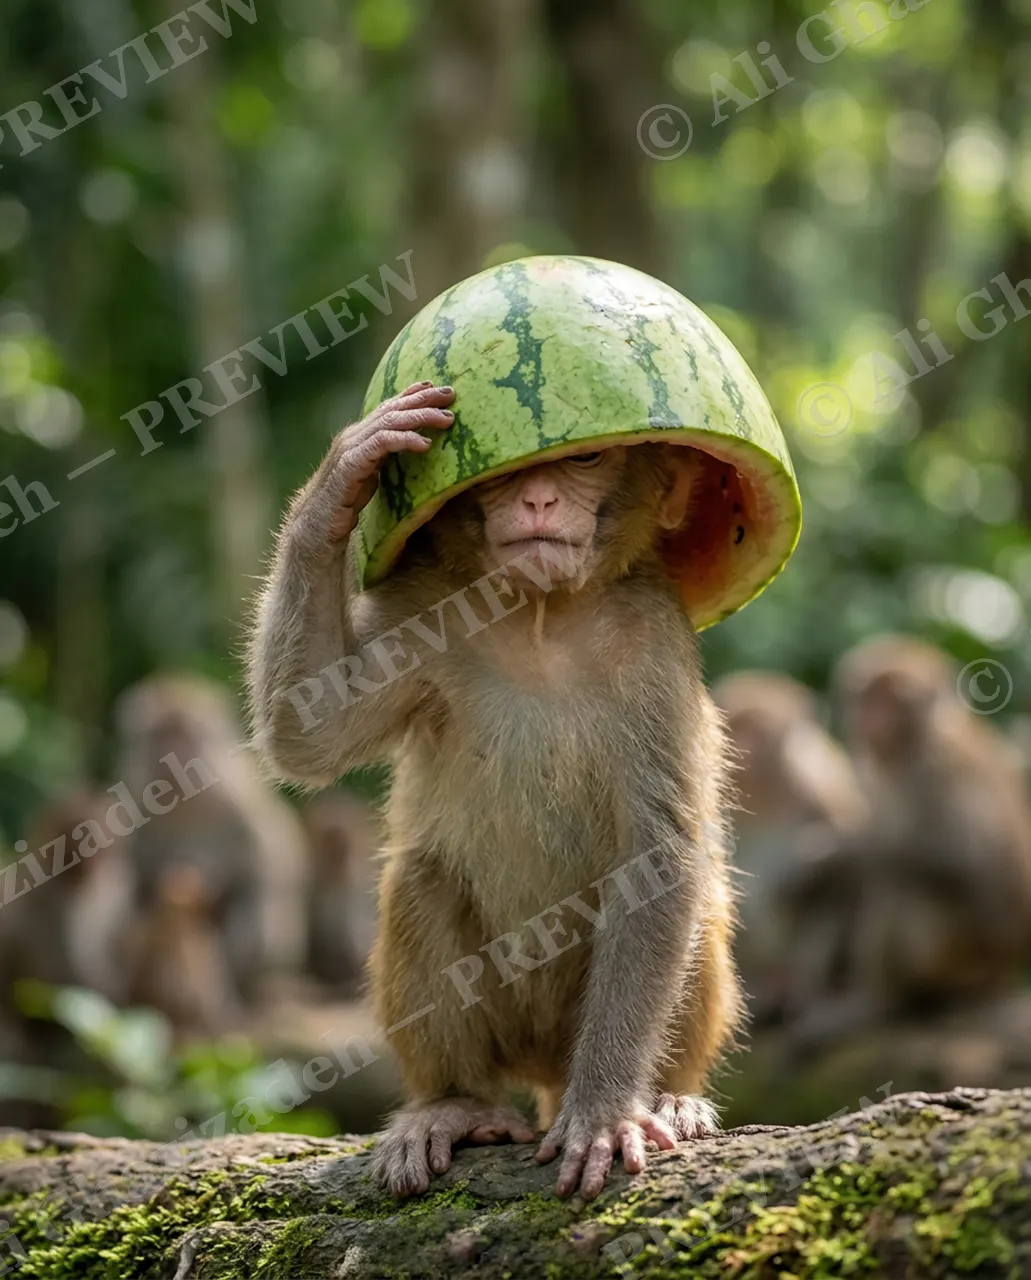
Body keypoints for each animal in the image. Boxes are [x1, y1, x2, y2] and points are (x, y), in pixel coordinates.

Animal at [115, 675, 309, 1007]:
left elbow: (264, 862)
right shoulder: (137, 799)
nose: (171, 753)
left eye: (184, 734)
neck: (183, 800)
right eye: (161, 733)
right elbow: (141, 875)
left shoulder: (234, 797)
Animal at [712, 671, 868, 1022]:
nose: (743, 745)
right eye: (736, 725)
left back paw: (800, 987)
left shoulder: (821, 787)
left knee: (828, 899)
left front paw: (800, 871)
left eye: (757, 730)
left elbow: (850, 862)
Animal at [786, 635, 1031, 1047]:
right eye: (867, 694)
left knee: (904, 888)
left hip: (960, 955)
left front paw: (843, 855)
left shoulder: (937, 772)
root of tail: (1002, 973)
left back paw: (874, 1002)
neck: (909, 748)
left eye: (893, 699)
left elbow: (971, 874)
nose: (870, 717)